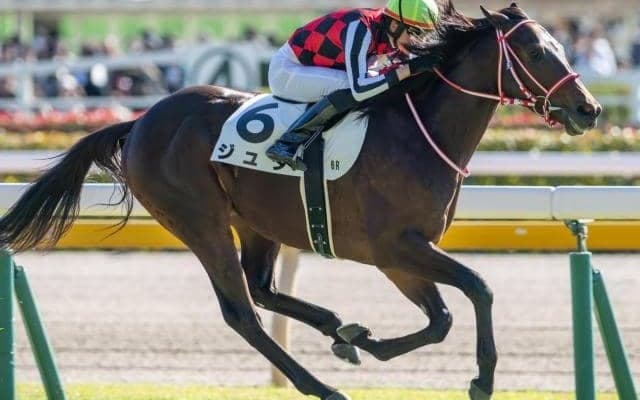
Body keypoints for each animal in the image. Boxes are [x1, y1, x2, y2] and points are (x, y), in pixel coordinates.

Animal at [0, 2, 601, 400]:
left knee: (263, 290)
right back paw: (321, 385)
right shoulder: (394, 247)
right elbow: (478, 288)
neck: (418, 132)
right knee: (242, 312)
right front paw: (482, 378)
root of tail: (139, 120)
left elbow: (442, 318)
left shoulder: (402, 256)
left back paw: (338, 329)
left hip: (255, 222)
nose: (588, 109)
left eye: (559, 45)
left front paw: (364, 340)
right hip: (199, 221)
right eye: (533, 50)